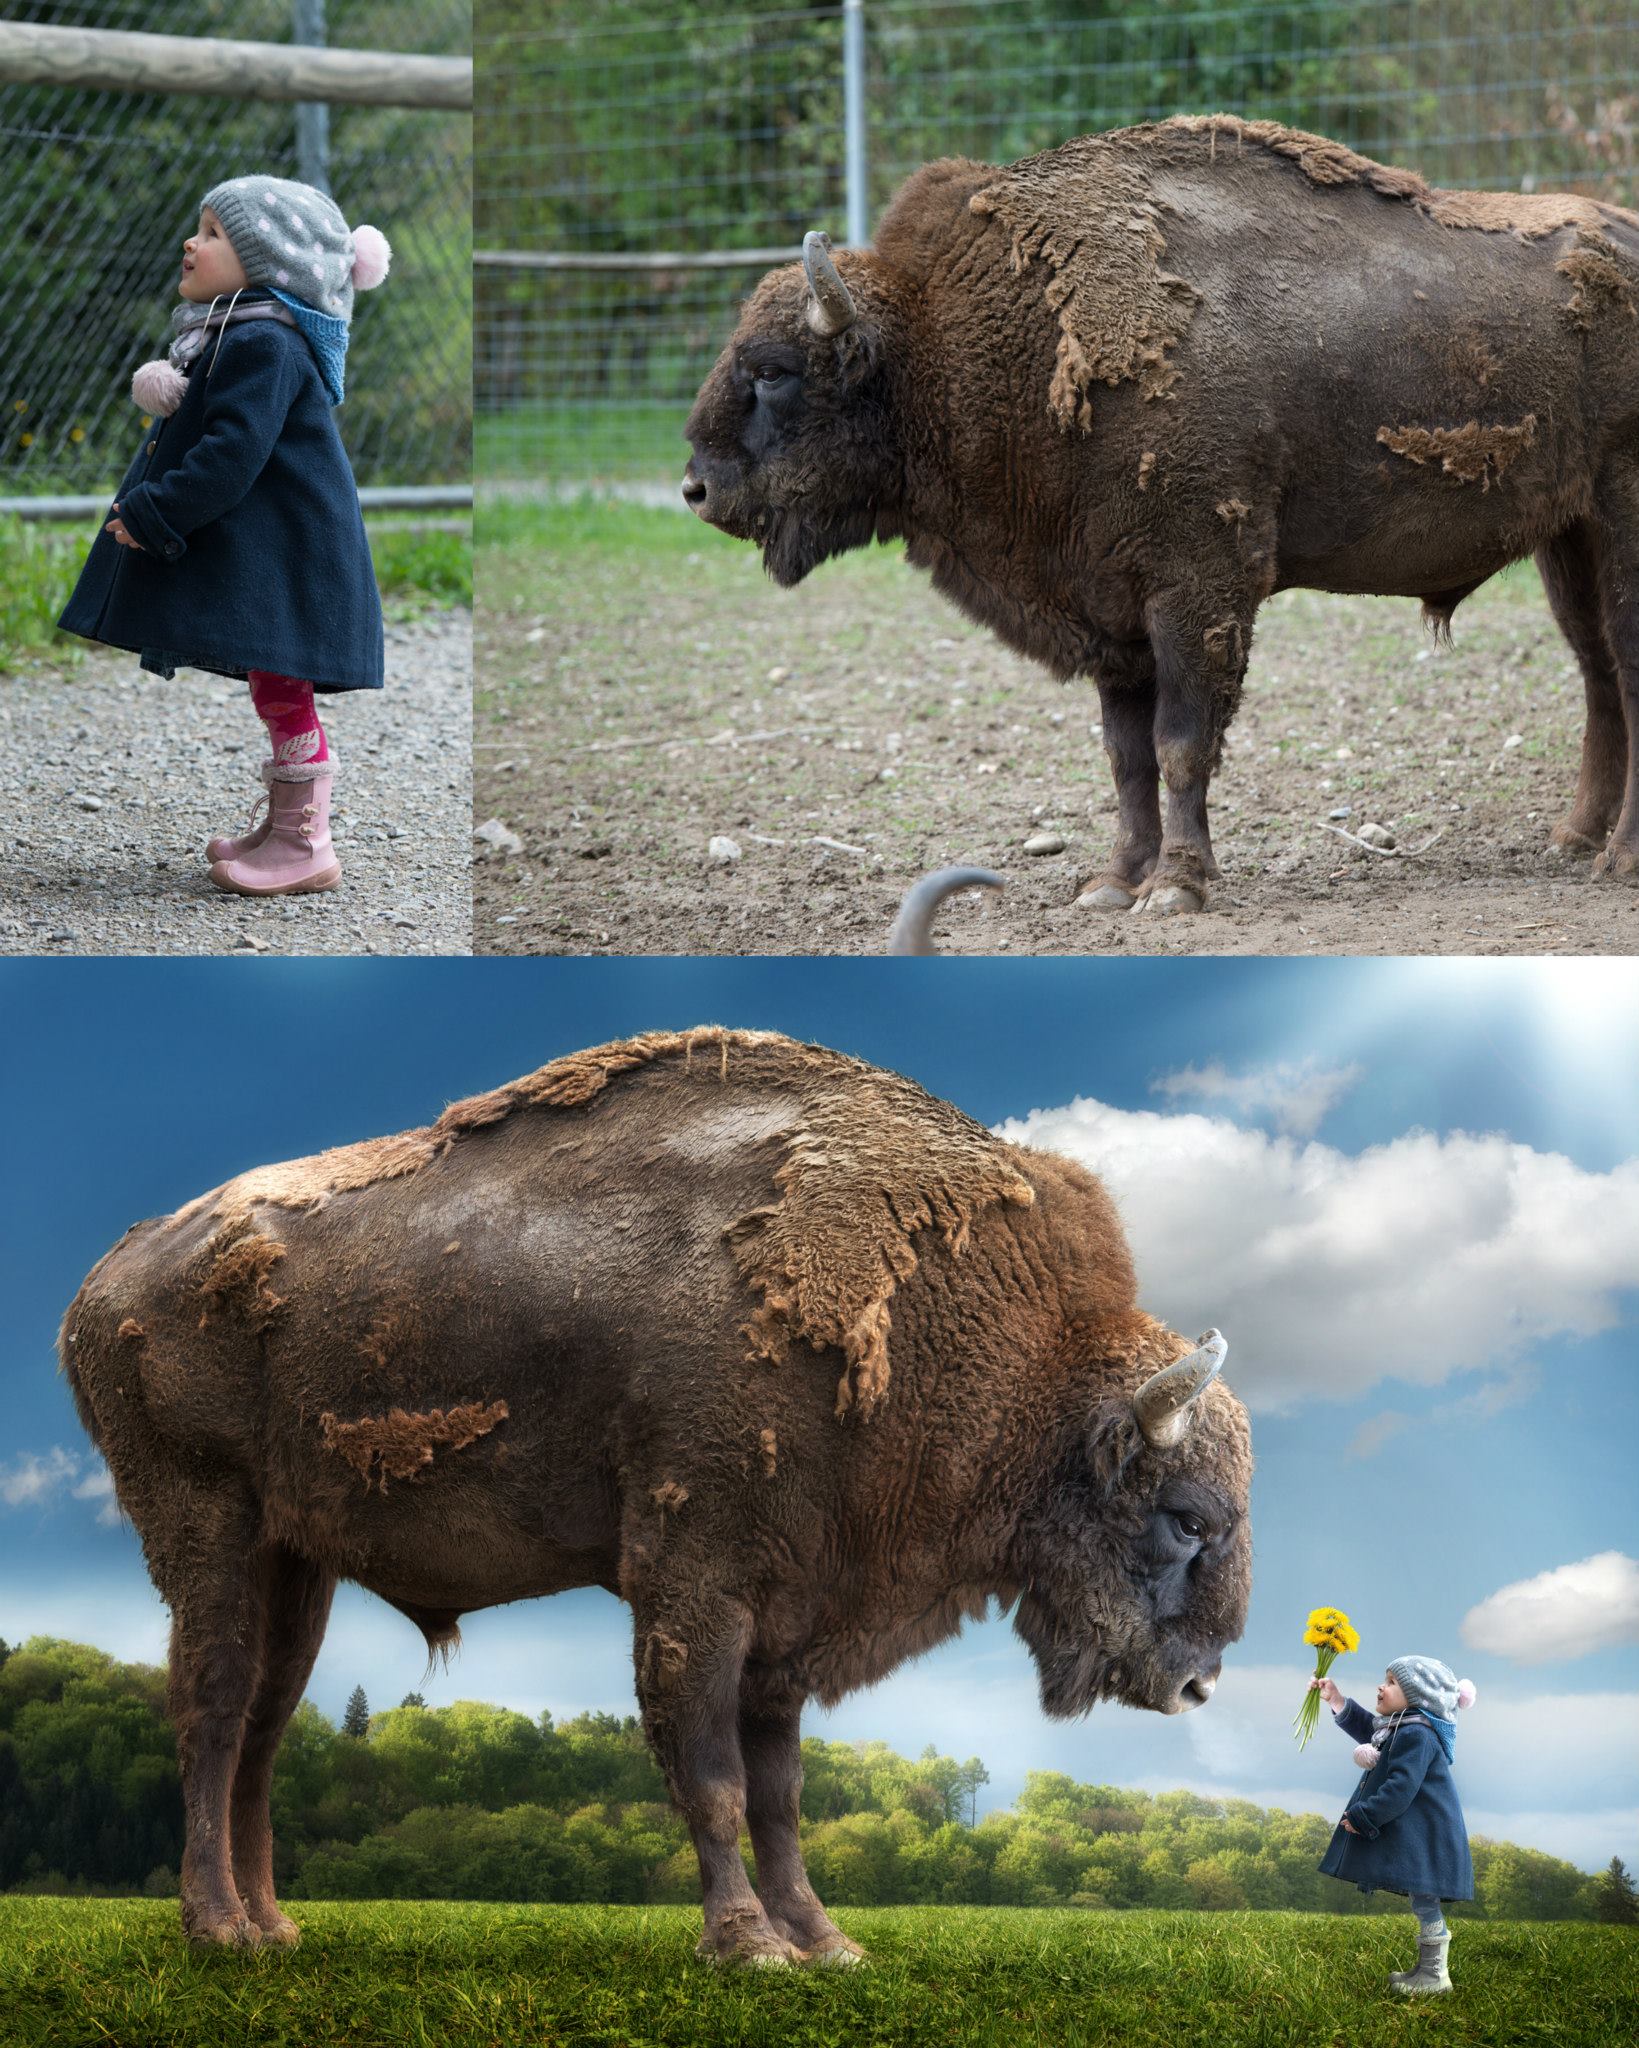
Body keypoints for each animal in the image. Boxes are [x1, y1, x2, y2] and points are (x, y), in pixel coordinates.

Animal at [57, 1032, 1245, 1957]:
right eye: (1186, 1517)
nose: (1199, 1686)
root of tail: (104, 1285)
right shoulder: (697, 1585)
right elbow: (710, 1773)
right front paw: (747, 1945)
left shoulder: (787, 1615)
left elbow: (780, 1792)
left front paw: (825, 1943)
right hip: (207, 1523)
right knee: (212, 1708)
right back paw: (215, 1927)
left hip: (294, 1557)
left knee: (266, 1722)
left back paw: (274, 1927)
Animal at [680, 110, 1639, 913]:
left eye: (772, 370)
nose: (696, 488)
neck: (947, 345)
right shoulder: (1111, 611)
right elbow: (1127, 757)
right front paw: (1113, 884)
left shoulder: (1196, 593)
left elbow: (1182, 743)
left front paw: (1176, 888)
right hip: (1566, 538)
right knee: (1597, 673)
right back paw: (1571, 839)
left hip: (1618, 521)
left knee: (1623, 670)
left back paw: (1616, 859)